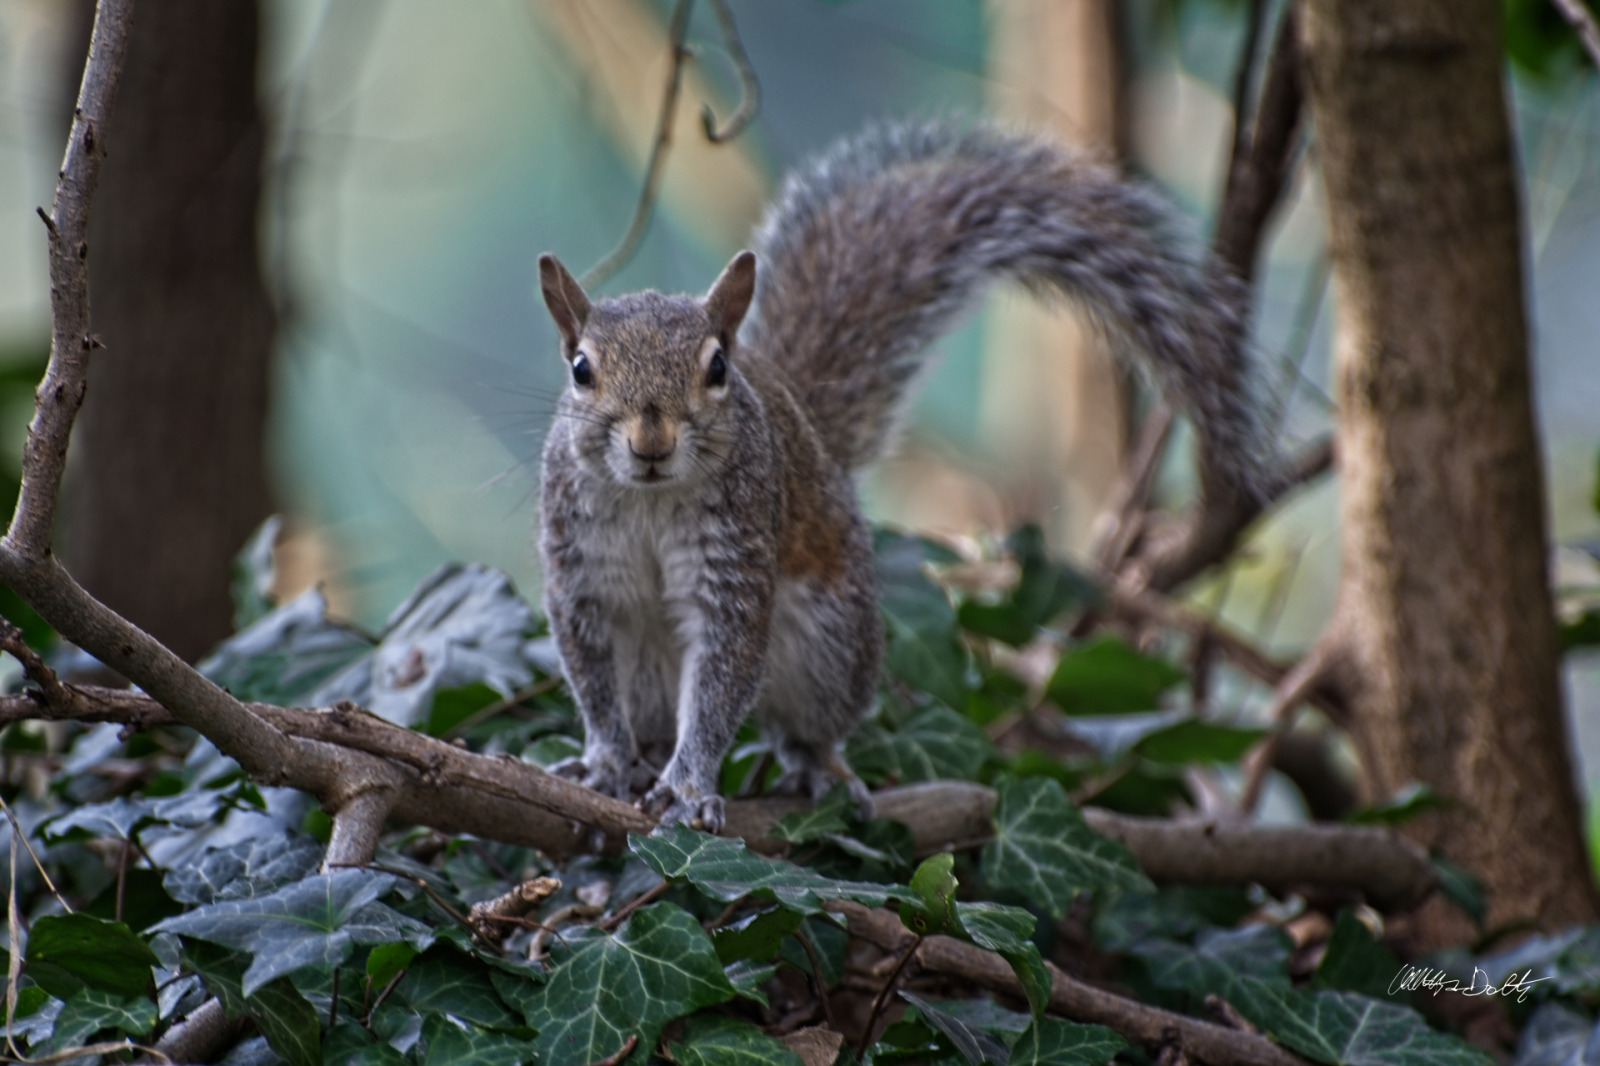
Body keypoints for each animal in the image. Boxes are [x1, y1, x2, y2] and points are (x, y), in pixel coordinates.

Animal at [544, 118, 1267, 832]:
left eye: (717, 367)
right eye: (580, 369)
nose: (652, 441)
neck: (650, 497)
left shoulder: (736, 559)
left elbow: (723, 676)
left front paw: (689, 788)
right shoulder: (581, 573)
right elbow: (592, 678)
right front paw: (605, 762)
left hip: (831, 641)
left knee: (808, 724)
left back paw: (816, 769)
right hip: (654, 669)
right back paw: (643, 758)